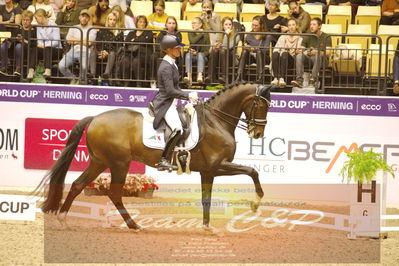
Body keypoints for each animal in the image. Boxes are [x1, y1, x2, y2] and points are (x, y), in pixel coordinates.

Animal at [37, 82, 274, 231]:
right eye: (262, 104)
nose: (257, 133)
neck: (215, 121)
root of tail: (95, 118)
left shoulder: (209, 171)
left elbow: (209, 197)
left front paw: (207, 227)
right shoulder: (216, 166)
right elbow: (252, 171)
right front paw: (255, 203)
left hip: (99, 161)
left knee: (78, 185)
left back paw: (63, 219)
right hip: (119, 163)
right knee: (114, 193)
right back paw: (134, 225)